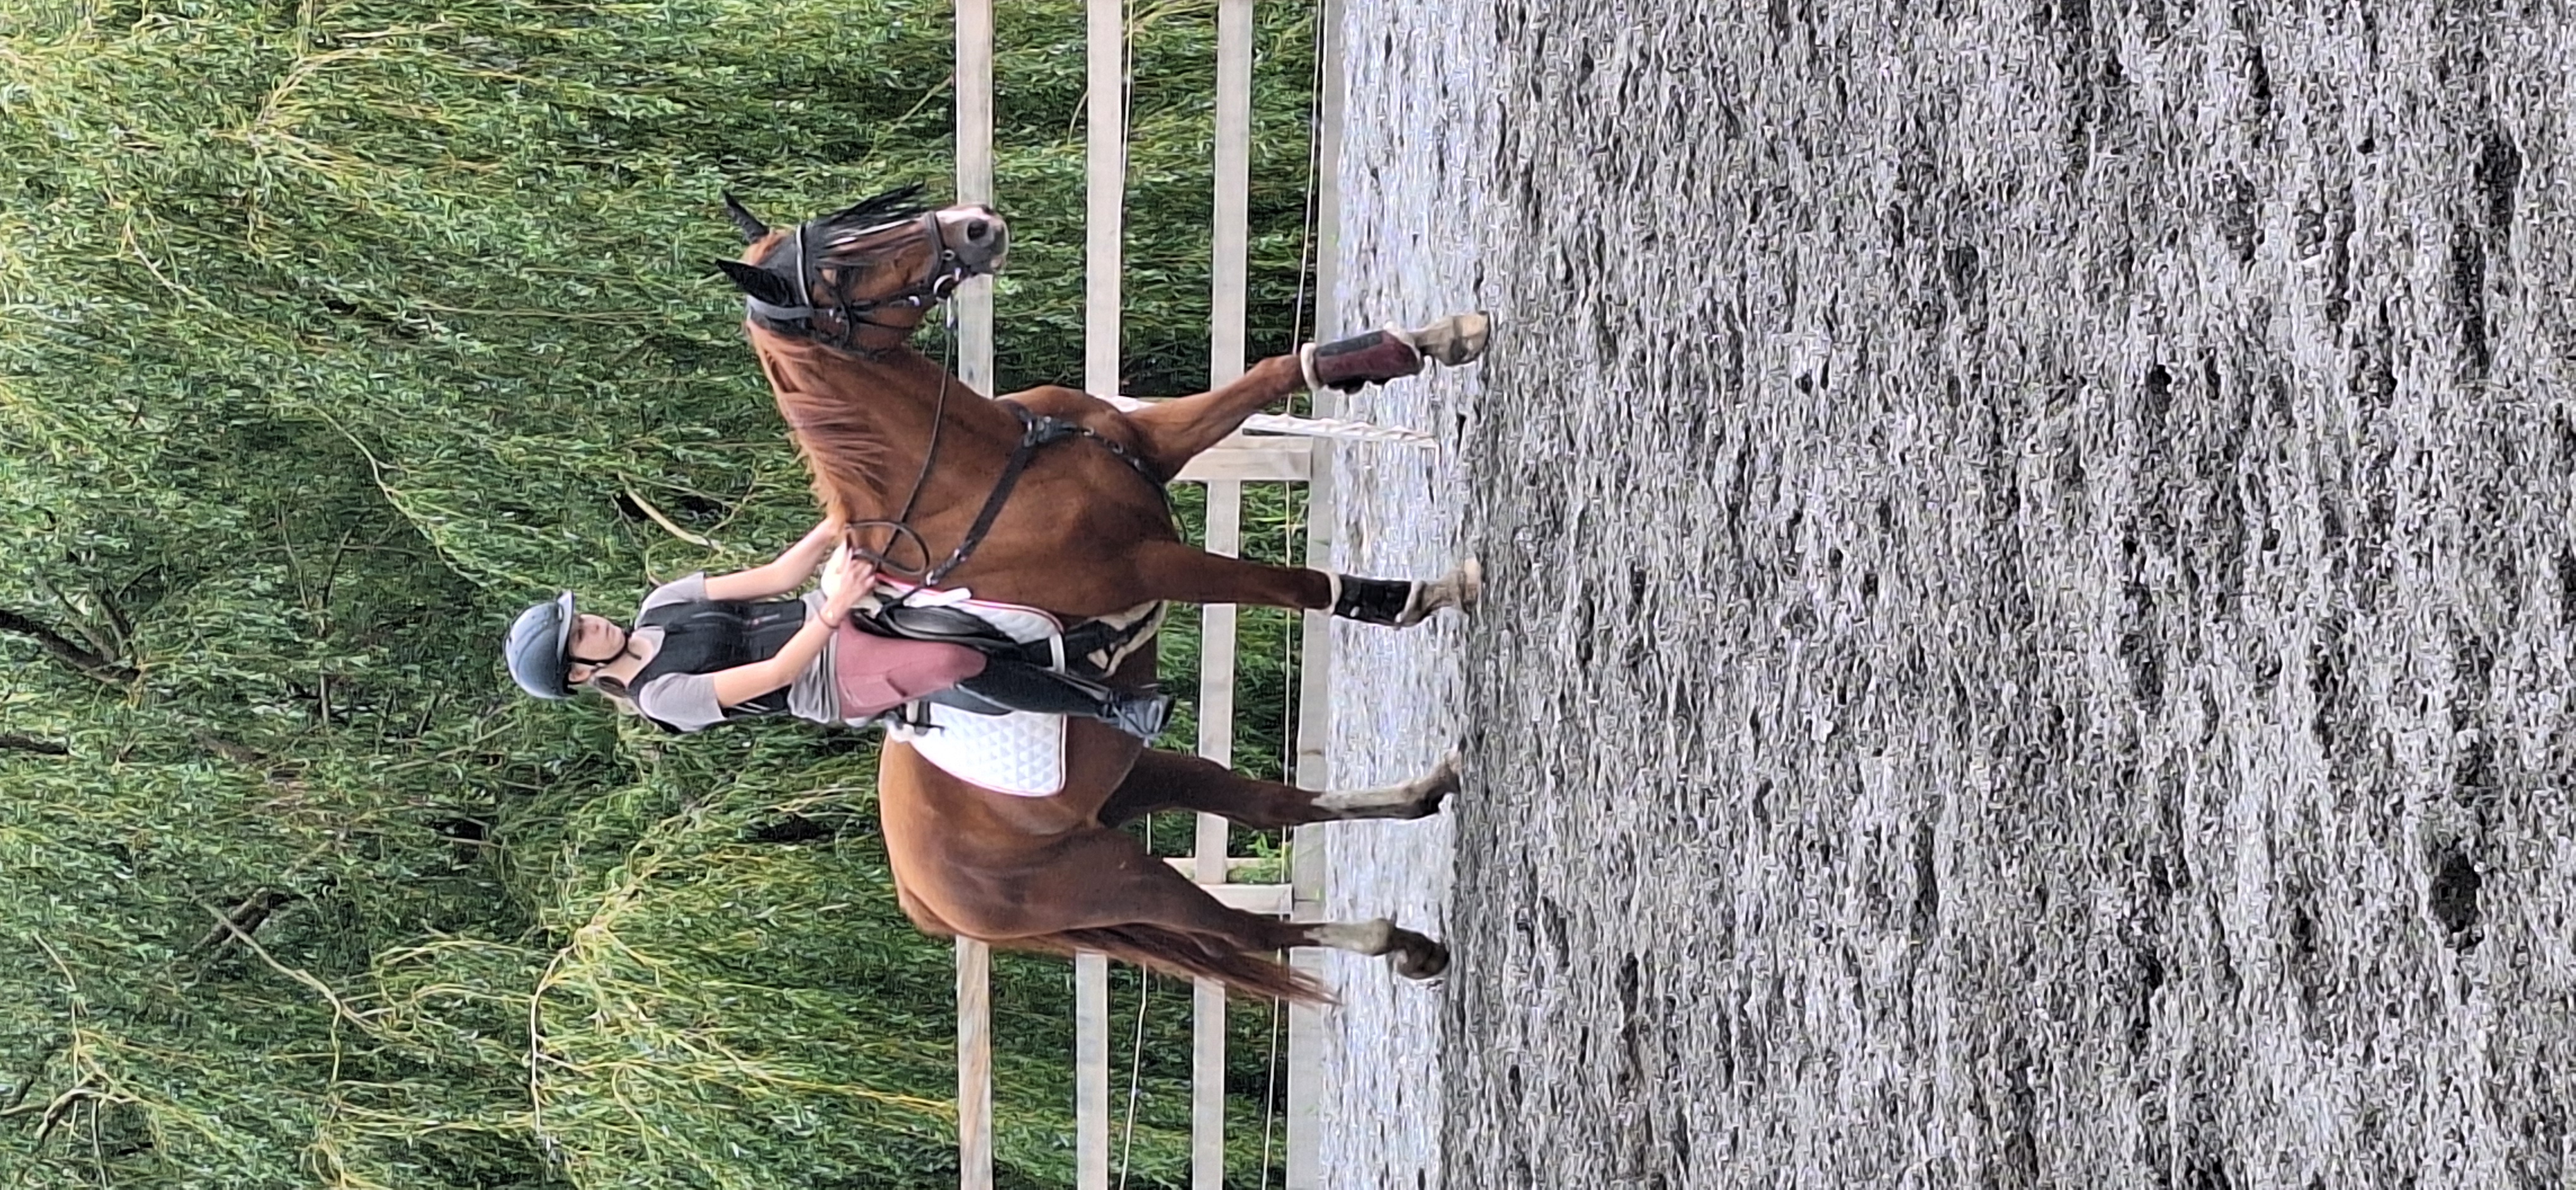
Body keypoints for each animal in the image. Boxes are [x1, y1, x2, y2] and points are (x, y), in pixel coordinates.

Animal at [712, 186, 1484, 1001]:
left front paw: (1435, 340)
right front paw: (1432, 593)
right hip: (1110, 877)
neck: (982, 471)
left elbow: (1274, 373)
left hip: (1133, 779)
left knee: (1270, 806)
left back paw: (1422, 803)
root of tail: (920, 897)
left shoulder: (1156, 445)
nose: (977, 226)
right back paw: (1394, 939)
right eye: (835, 272)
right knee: (1244, 930)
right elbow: (1298, 587)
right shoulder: (1156, 564)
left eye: (858, 220)